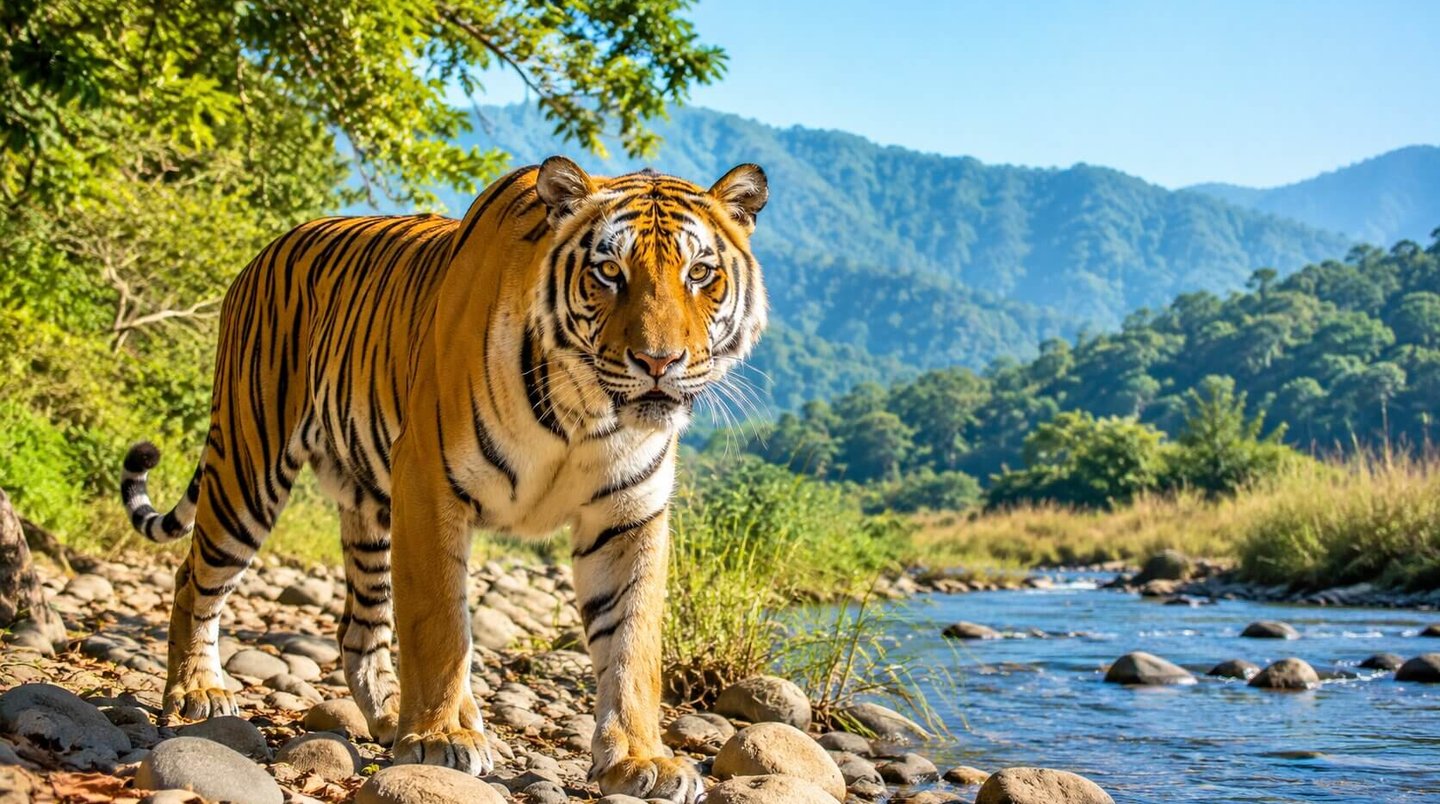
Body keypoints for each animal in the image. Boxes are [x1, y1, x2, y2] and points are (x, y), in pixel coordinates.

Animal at [117, 156, 769, 802]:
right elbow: (440, 626)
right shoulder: (430, 484)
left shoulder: (626, 517)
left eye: (700, 273)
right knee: (194, 579)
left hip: (369, 506)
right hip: (249, 465)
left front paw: (640, 760)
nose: (659, 362)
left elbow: (633, 646)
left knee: (359, 627)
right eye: (609, 271)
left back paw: (386, 713)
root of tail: (267, 250)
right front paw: (441, 738)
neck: (585, 410)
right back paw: (198, 692)